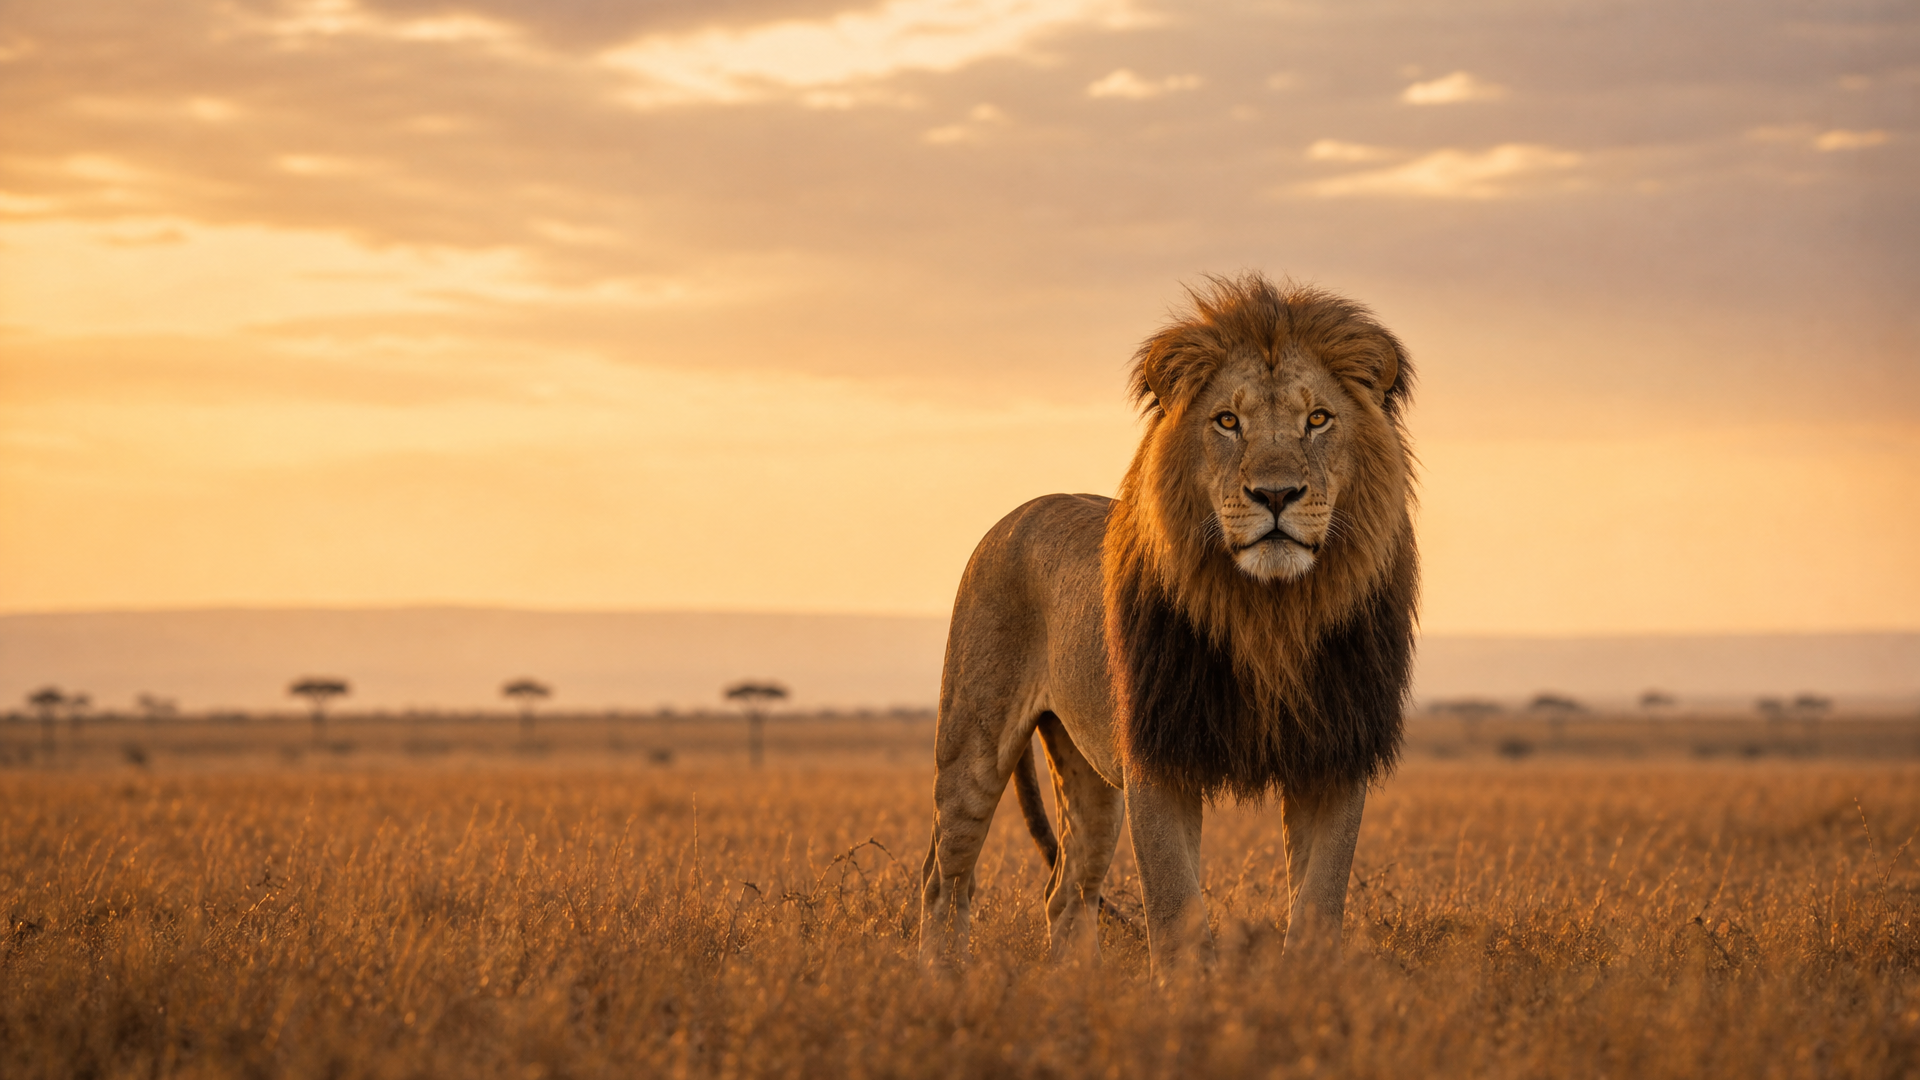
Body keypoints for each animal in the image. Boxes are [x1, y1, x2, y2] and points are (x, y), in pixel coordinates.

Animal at [918, 273, 1417, 973]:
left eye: (1317, 419)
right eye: (1227, 421)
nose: (1275, 494)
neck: (1270, 614)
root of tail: (1017, 513)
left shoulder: (1334, 755)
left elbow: (1319, 903)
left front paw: (1305, 988)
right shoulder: (1158, 755)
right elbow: (1176, 909)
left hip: (1088, 773)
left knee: (1067, 890)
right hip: (972, 743)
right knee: (945, 877)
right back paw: (941, 980)